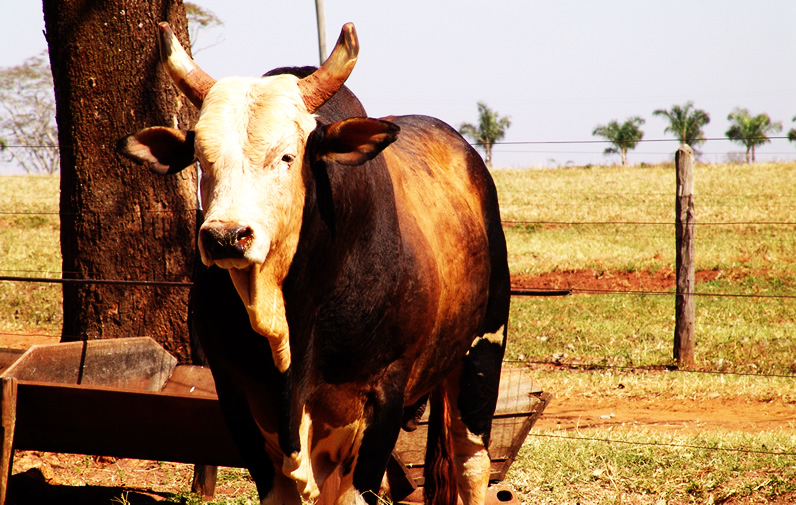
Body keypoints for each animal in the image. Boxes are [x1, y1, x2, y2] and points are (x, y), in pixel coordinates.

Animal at [119, 21, 510, 504]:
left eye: (288, 156)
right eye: (202, 160)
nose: (226, 236)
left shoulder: (384, 392)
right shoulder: (237, 395)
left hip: (483, 349)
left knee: (471, 461)